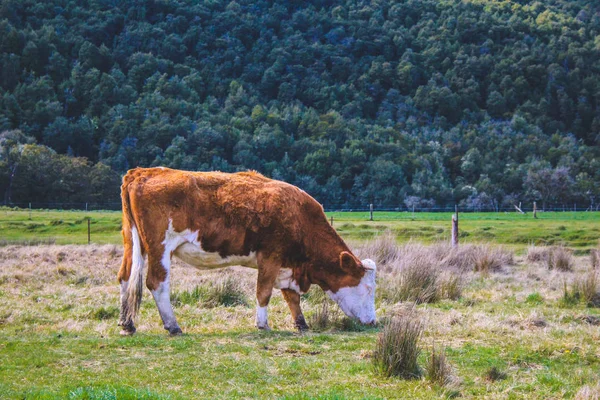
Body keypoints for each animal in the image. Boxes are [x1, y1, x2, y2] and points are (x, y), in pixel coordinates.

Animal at [118, 167, 376, 336]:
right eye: (368, 288)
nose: (373, 321)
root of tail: (142, 172)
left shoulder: (287, 266)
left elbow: (292, 297)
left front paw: (301, 324)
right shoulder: (271, 257)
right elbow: (264, 293)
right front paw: (262, 325)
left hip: (132, 243)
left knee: (125, 277)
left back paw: (127, 324)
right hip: (160, 248)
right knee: (157, 283)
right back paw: (173, 326)